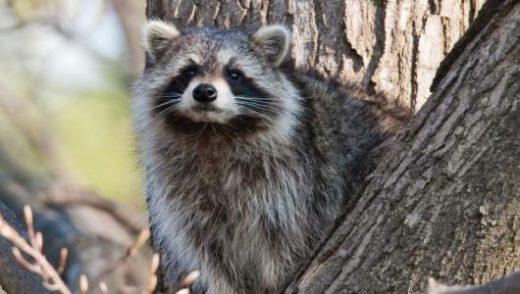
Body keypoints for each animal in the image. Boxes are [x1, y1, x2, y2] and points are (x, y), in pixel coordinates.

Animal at [133, 19, 410, 292]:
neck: (213, 130)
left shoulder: (297, 177)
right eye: (189, 70)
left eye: (234, 74)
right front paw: (225, 285)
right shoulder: (182, 190)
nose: (205, 92)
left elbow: (287, 239)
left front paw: (277, 280)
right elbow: (208, 250)